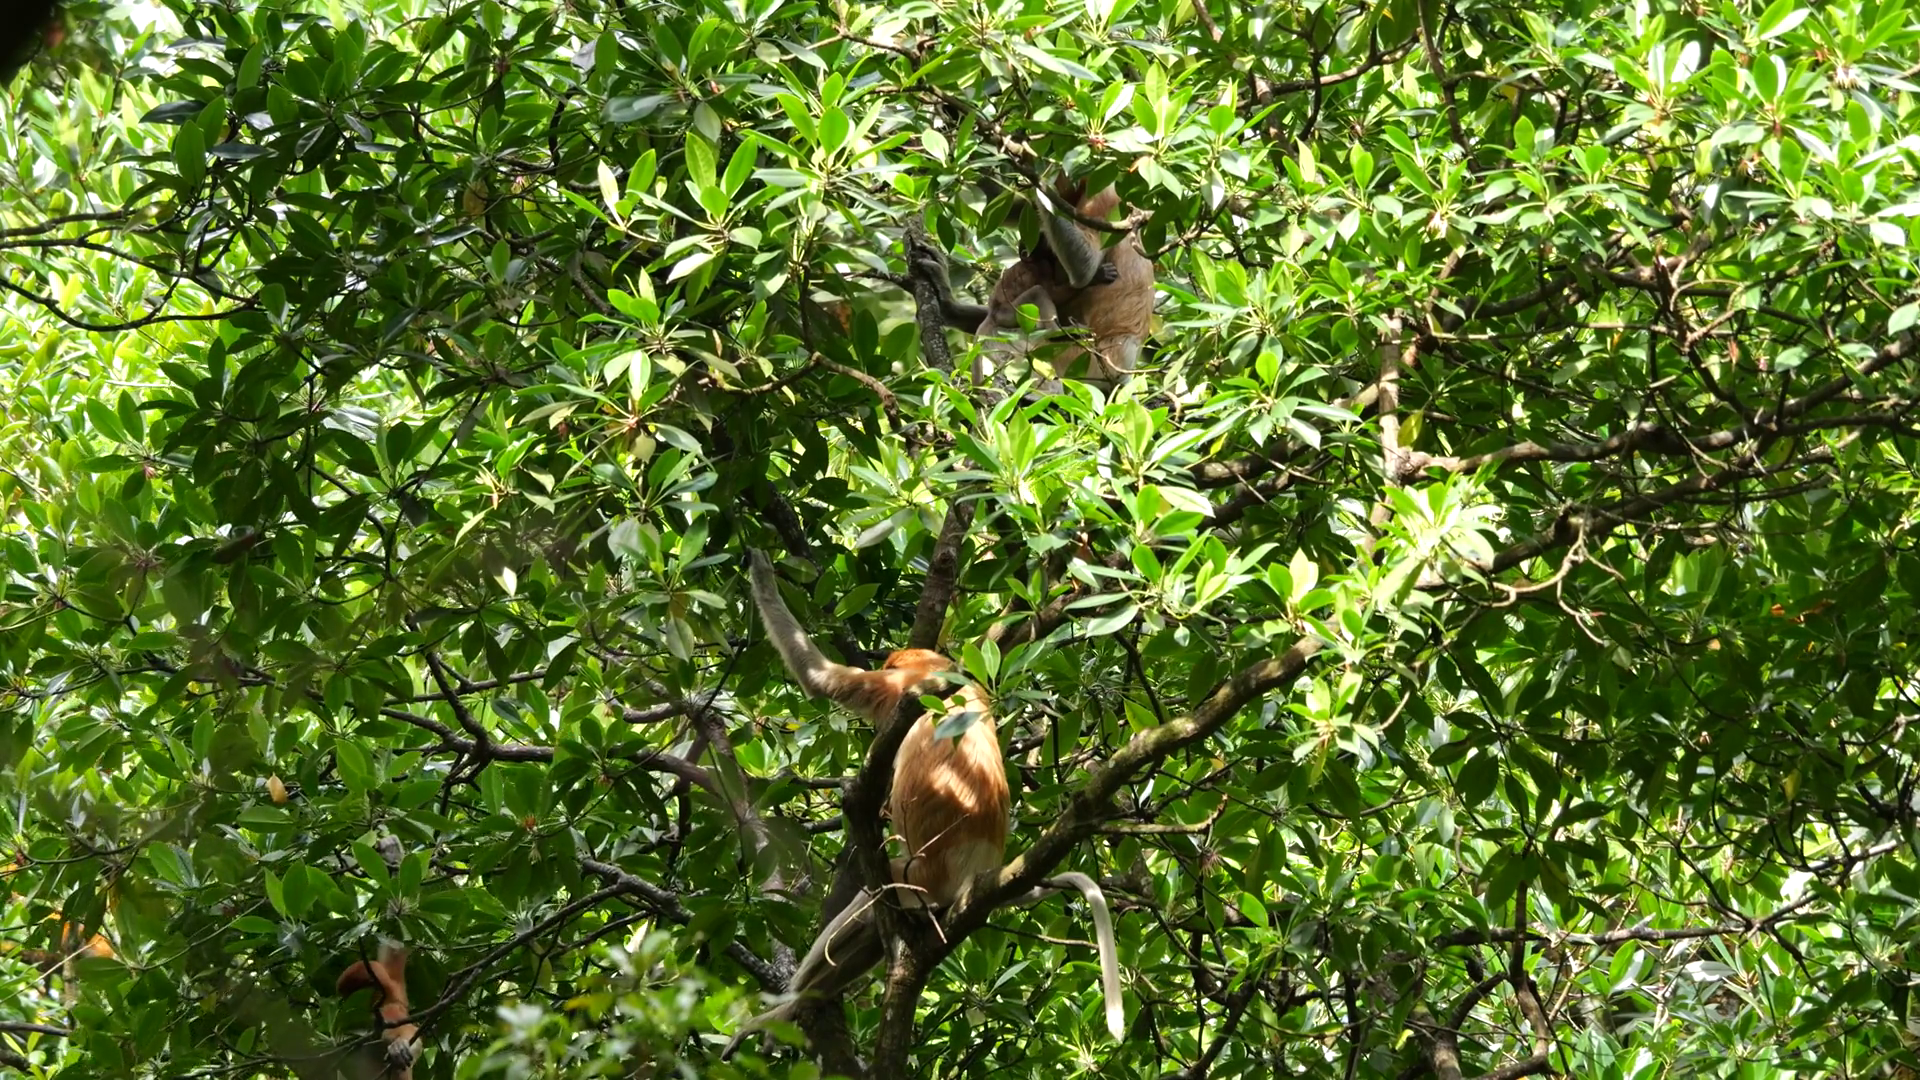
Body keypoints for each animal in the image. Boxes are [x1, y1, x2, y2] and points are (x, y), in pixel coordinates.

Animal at [723, 549, 1121, 1055]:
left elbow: (821, 680)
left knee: (871, 898)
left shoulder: (897, 689)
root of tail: (978, 871)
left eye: (894, 664)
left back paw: (778, 1010)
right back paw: (790, 1011)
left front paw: (760, 570)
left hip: (917, 883)